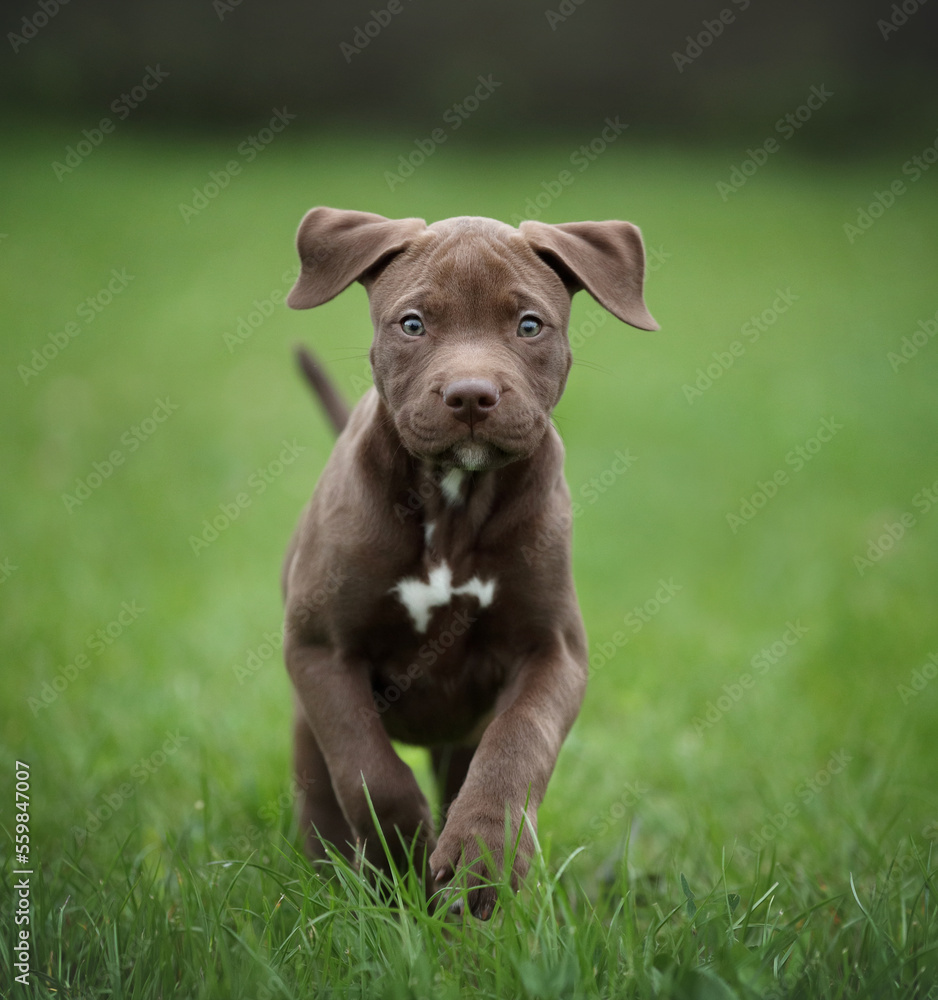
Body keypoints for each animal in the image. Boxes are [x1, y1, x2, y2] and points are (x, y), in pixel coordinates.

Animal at [282, 207, 656, 916]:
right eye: (412, 324)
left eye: (529, 325)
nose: (471, 395)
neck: (454, 503)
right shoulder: (321, 650)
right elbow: (368, 769)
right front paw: (403, 850)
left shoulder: (552, 652)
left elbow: (517, 745)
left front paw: (481, 856)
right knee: (322, 797)